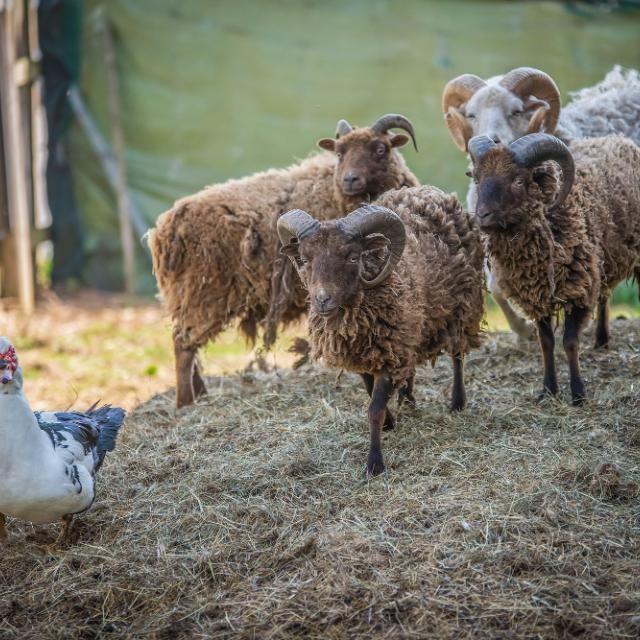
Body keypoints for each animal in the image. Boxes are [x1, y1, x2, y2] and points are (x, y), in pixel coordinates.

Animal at [149, 114, 420, 404]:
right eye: (339, 153)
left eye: (380, 149)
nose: (349, 179)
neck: (332, 191)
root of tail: (164, 229)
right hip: (203, 294)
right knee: (183, 345)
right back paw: (186, 402)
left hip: (188, 297)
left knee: (187, 342)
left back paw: (200, 394)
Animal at [278, 186, 482, 476]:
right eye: (305, 259)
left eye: (353, 257)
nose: (322, 300)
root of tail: (428, 191)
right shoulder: (368, 356)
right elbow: (369, 392)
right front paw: (390, 422)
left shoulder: (389, 355)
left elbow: (374, 408)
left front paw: (375, 464)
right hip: (413, 330)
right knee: (413, 365)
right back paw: (408, 401)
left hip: (463, 305)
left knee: (457, 354)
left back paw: (457, 402)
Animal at [468, 132, 640, 404]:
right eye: (477, 178)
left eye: (518, 180)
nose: (482, 215)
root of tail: (616, 139)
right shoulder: (536, 297)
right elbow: (546, 342)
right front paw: (548, 390)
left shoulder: (579, 290)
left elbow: (569, 342)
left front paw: (578, 394)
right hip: (603, 262)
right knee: (604, 294)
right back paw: (601, 340)